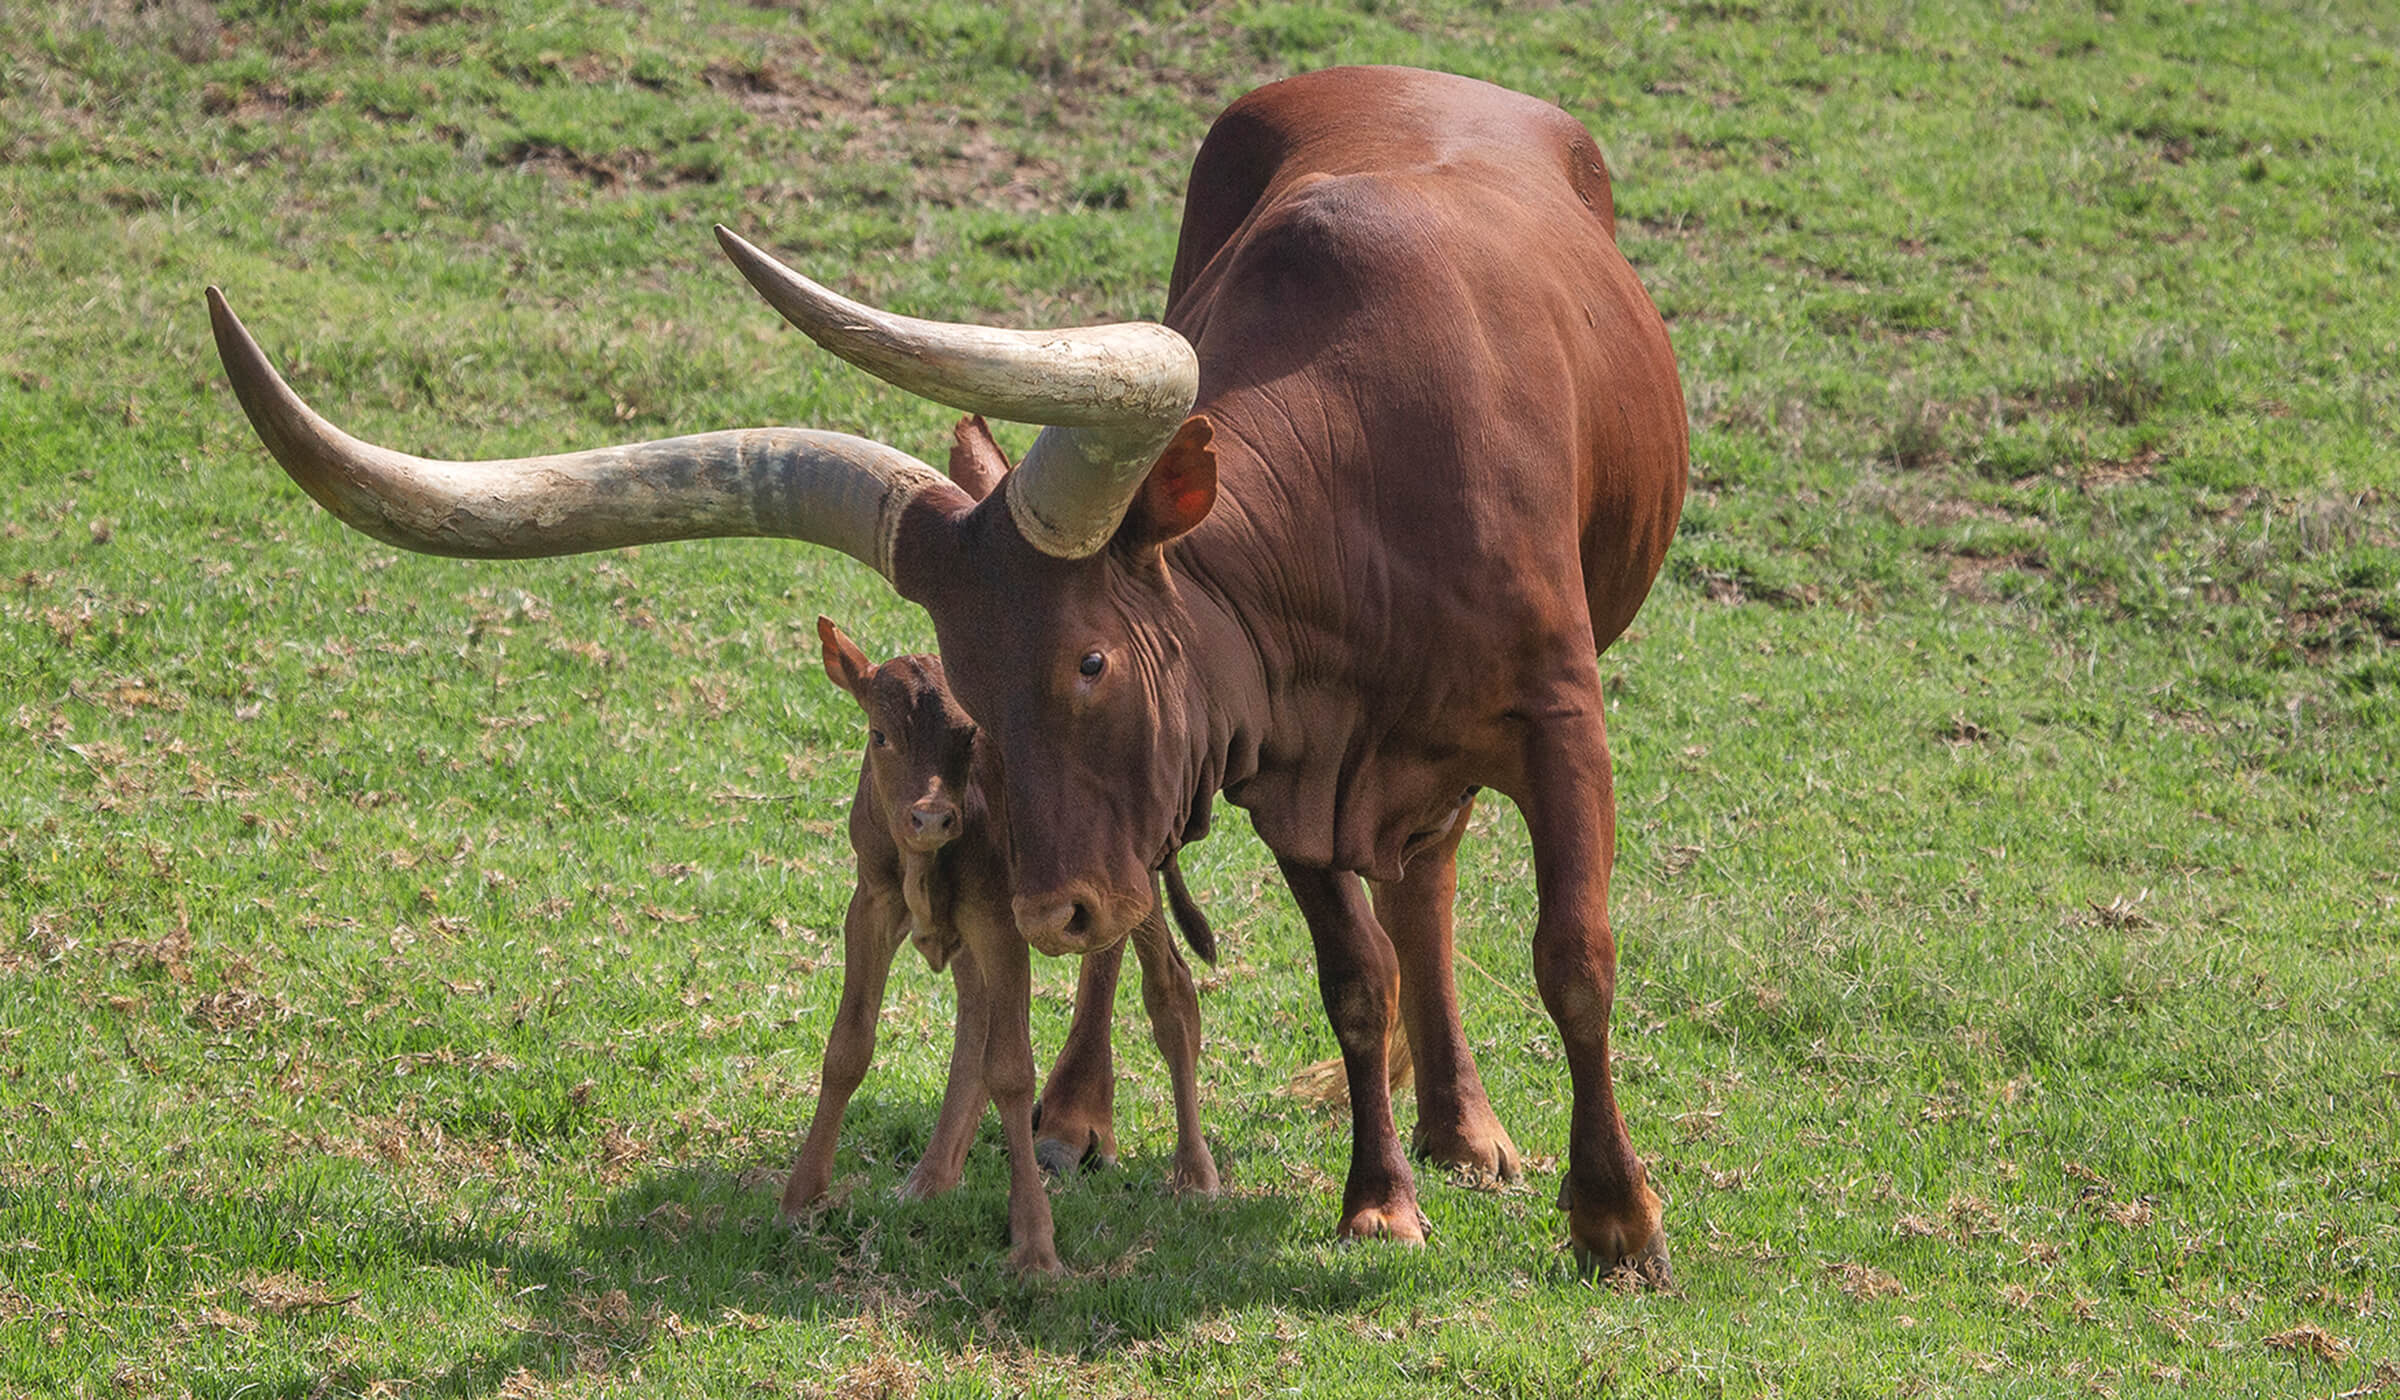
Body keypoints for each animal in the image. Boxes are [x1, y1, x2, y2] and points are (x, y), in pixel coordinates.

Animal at [216, 65, 1699, 1277]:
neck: (1357, 500)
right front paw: (1380, 1199)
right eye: (970, 694)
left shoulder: (1559, 716)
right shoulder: (1290, 767)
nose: (1049, 905)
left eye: (1092, 658)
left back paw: (1468, 1124)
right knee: (1297, 902)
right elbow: (1352, 976)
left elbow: (1574, 956)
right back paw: (1092, 1111)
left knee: (1421, 873)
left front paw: (1615, 1221)